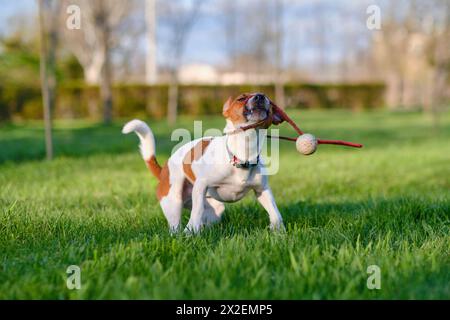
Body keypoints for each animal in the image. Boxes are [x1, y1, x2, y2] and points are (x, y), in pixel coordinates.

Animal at [122, 92, 284, 232]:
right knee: (176, 226)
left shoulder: (262, 190)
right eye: (241, 98)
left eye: (268, 99)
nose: (261, 96)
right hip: (174, 202)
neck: (241, 156)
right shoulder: (201, 185)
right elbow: (197, 210)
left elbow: (275, 212)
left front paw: (279, 231)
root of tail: (163, 170)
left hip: (214, 208)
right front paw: (190, 230)